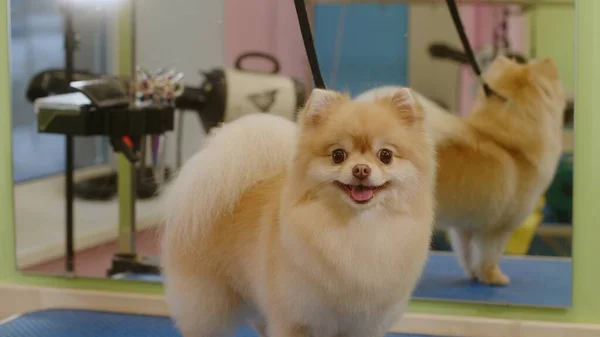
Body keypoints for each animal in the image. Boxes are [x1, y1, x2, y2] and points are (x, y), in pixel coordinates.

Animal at [162, 87, 436, 336]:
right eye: (338, 155)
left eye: (385, 155)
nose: (360, 170)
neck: (358, 226)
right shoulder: (296, 317)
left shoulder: (364, 324)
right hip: (208, 302)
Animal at [358, 56, 564, 284]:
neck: (507, 143)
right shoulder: (496, 229)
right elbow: (489, 256)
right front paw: (493, 277)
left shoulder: (465, 226)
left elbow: (467, 254)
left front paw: (474, 275)